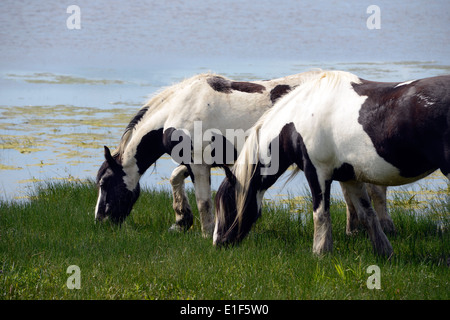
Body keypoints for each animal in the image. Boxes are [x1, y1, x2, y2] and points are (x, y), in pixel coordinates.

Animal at [96, 72, 394, 238]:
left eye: (105, 183)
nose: (100, 220)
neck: (178, 108)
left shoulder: (198, 163)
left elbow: (203, 200)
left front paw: (205, 232)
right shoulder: (199, 162)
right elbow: (174, 178)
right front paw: (181, 221)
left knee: (373, 191)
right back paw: (354, 230)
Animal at [215, 71, 450, 256]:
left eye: (228, 204)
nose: (219, 243)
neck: (299, 117)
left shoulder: (317, 173)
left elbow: (320, 213)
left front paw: (320, 252)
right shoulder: (351, 177)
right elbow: (367, 215)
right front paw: (384, 252)